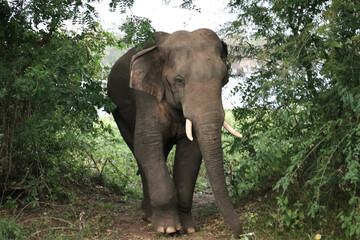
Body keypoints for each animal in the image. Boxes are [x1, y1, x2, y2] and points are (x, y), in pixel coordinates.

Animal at [106, 28, 242, 236]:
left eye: (223, 79)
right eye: (179, 80)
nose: (239, 232)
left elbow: (191, 152)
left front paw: (189, 228)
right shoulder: (146, 98)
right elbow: (146, 144)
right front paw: (168, 229)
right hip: (118, 113)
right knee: (140, 153)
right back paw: (149, 216)